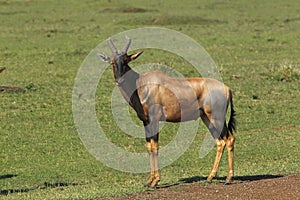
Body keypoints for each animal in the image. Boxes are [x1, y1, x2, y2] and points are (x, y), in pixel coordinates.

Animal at [99, 36, 236, 188]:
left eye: (126, 60)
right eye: (112, 62)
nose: (120, 80)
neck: (142, 84)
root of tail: (227, 89)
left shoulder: (154, 120)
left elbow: (155, 146)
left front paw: (155, 181)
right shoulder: (145, 121)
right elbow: (148, 146)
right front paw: (149, 181)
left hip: (217, 118)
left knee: (229, 139)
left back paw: (228, 178)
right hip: (207, 118)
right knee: (220, 142)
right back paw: (210, 177)